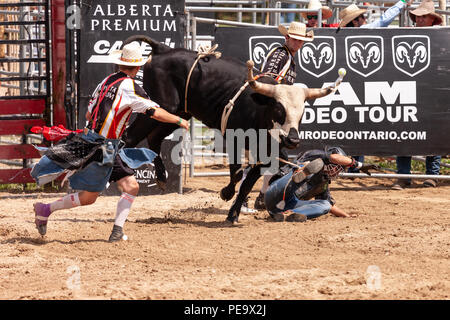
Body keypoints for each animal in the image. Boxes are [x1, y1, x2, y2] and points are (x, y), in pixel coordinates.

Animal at [121, 35, 332, 224]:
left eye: (302, 112)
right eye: (279, 109)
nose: (293, 140)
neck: (260, 110)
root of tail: (162, 49)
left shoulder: (267, 153)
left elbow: (248, 183)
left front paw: (233, 214)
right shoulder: (234, 140)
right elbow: (238, 174)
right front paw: (226, 193)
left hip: (178, 113)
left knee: (154, 138)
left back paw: (161, 177)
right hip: (159, 106)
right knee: (130, 137)